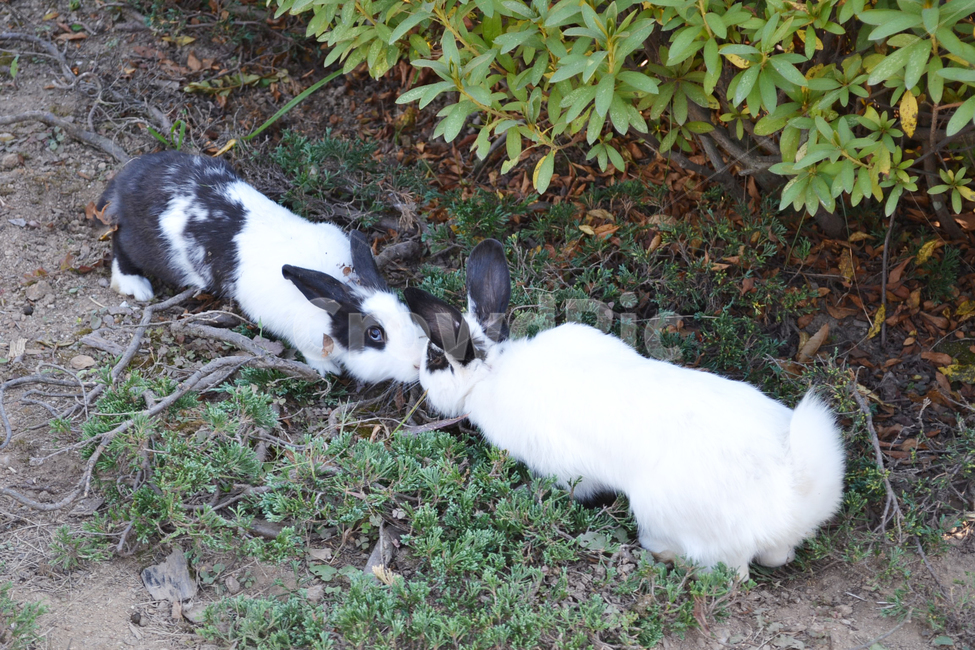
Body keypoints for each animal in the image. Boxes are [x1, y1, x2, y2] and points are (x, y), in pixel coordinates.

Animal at [96, 150, 425, 383]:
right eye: (375, 334)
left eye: (407, 314)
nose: (417, 364)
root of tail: (128, 180)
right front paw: (328, 370)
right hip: (147, 248)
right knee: (119, 242)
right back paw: (135, 285)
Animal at [403, 239, 846, 580]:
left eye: (435, 359)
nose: (419, 377)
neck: (494, 372)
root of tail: (793, 491)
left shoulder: (566, 469)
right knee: (775, 556)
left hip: (668, 515)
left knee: (732, 573)